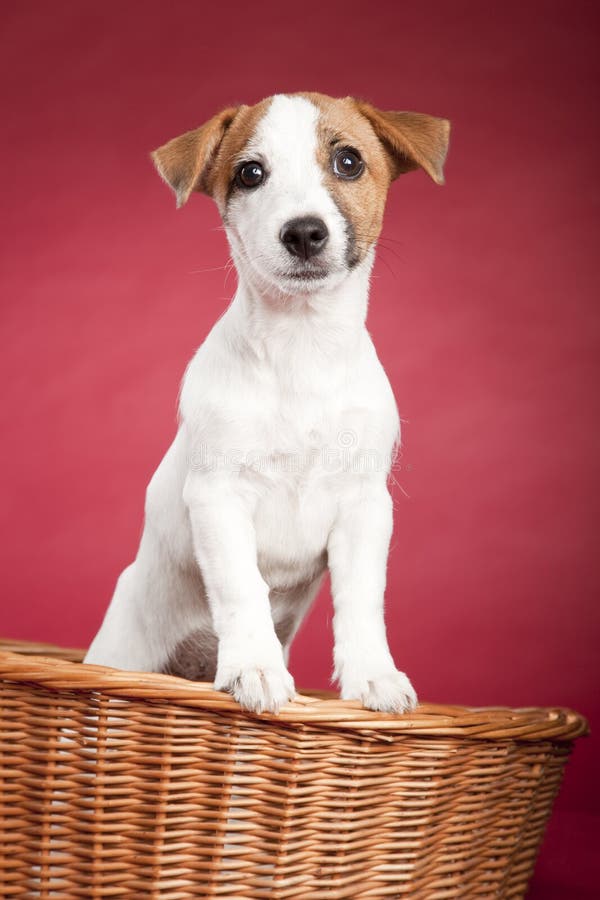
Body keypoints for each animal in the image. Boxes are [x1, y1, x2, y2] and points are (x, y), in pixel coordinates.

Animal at [85, 89, 450, 712]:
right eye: (249, 173)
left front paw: (373, 675)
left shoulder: (365, 507)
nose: (303, 233)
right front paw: (254, 667)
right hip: (118, 656)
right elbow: (241, 588)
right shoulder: (218, 499)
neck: (301, 347)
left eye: (349, 162)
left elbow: (361, 600)